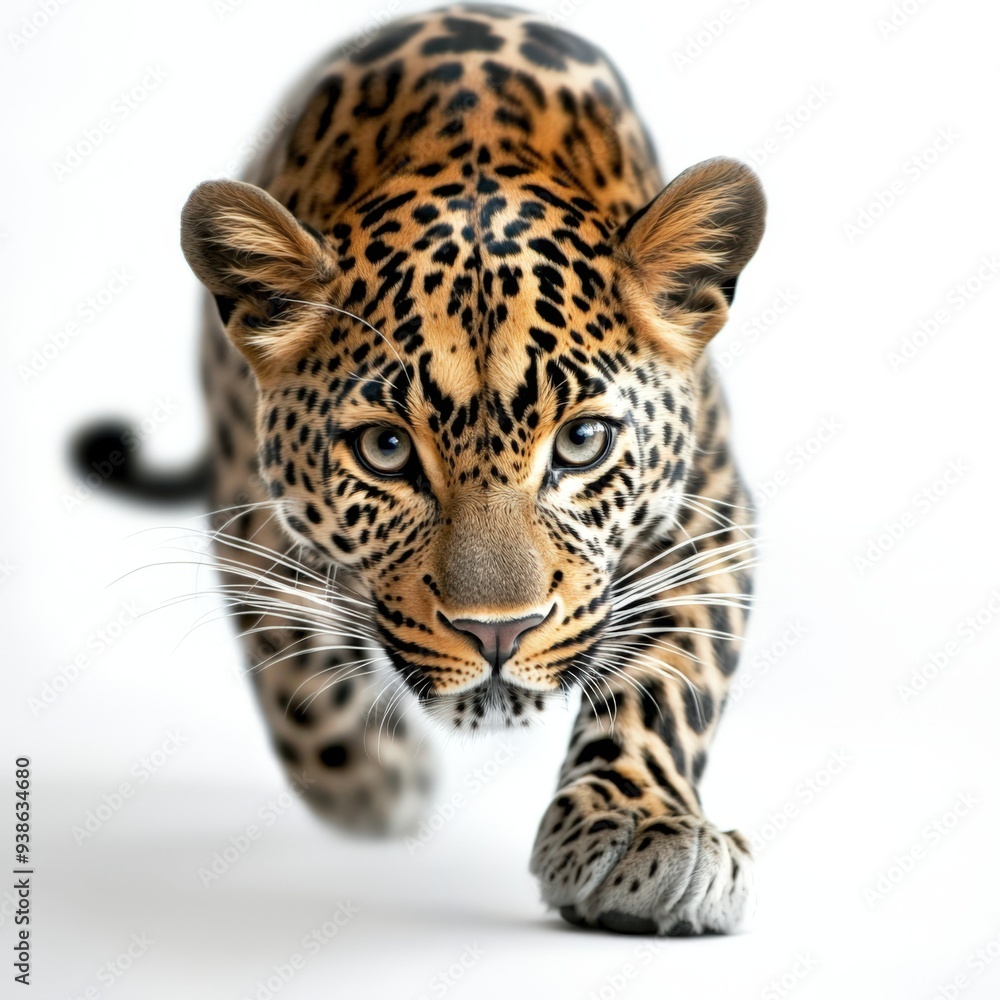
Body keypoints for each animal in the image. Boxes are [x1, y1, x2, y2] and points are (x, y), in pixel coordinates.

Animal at [77, 3, 766, 936]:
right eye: (387, 450)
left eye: (582, 442)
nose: (498, 633)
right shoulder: (251, 522)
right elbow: (295, 662)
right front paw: (374, 785)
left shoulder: (708, 505)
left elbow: (673, 665)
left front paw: (638, 830)